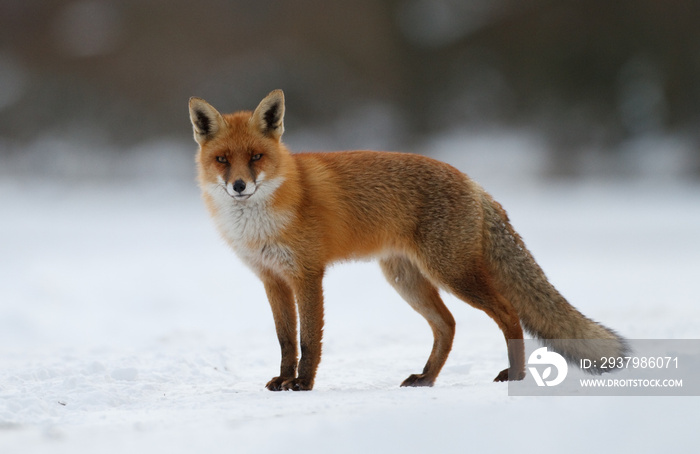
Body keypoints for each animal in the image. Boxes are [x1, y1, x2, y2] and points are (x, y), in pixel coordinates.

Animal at [189, 88, 628, 390]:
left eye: (256, 157)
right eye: (223, 160)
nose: (240, 186)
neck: (260, 223)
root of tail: (473, 183)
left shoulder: (307, 275)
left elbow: (310, 340)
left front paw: (303, 384)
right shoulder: (272, 279)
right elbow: (286, 341)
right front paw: (283, 381)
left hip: (453, 274)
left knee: (508, 314)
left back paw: (516, 374)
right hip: (407, 279)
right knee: (448, 325)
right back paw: (426, 378)